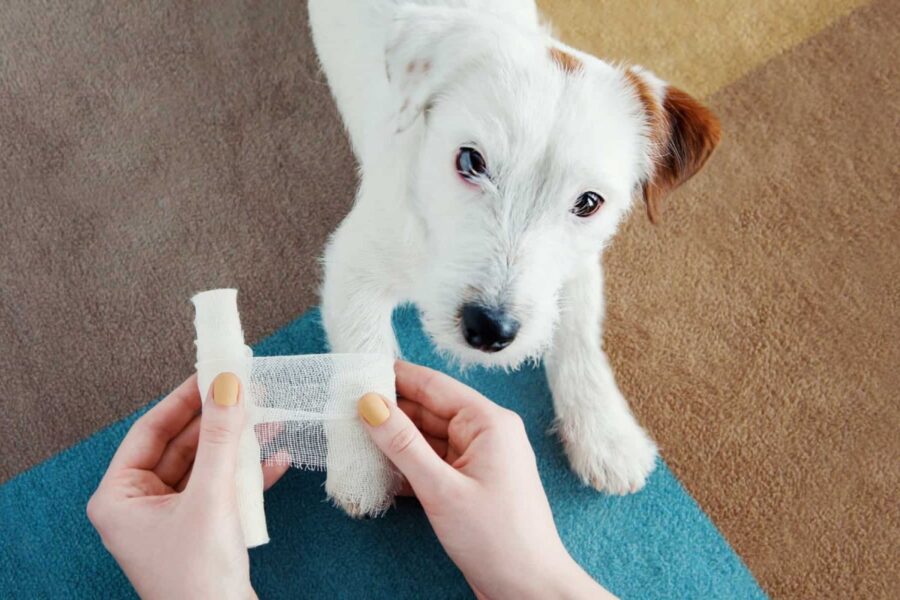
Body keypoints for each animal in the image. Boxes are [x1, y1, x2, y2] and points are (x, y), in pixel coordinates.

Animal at [306, 0, 720, 516]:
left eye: (588, 202)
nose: (489, 329)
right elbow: (362, 358)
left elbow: (579, 335)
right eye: (470, 161)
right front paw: (363, 463)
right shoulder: (353, 264)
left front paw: (605, 433)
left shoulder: (576, 267)